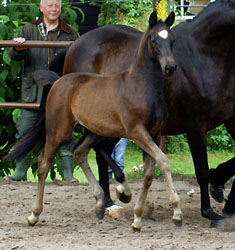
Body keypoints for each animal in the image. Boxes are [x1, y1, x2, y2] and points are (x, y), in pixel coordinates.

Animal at [8, 11, 183, 230]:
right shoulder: (137, 132)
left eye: (172, 40)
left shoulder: (155, 133)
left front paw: (137, 218)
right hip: (58, 130)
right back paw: (34, 214)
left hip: (94, 131)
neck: (141, 86)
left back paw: (100, 202)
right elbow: (164, 161)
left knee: (79, 151)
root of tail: (57, 81)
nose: (170, 66)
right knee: (44, 163)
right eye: (154, 40)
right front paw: (177, 213)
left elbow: (150, 174)